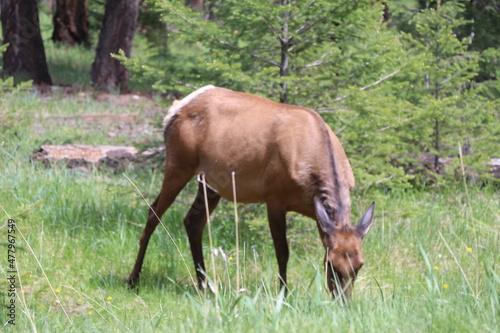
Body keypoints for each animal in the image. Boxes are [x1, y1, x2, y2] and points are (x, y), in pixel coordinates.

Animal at [127, 85, 374, 298]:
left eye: (359, 265)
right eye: (330, 263)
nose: (343, 301)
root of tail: (175, 108)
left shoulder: (316, 213)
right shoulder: (274, 198)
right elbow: (282, 251)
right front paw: (283, 294)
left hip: (210, 182)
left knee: (193, 221)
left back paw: (204, 285)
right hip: (179, 164)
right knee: (153, 213)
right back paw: (133, 279)